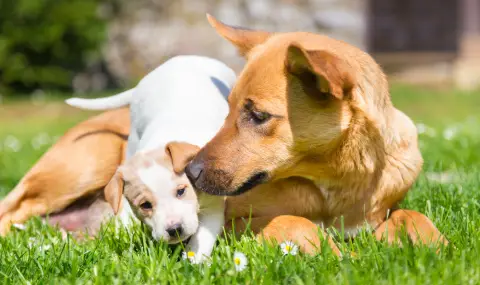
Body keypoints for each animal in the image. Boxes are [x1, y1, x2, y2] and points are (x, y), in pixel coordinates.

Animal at [66, 55, 236, 262]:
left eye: (181, 191)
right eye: (145, 205)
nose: (175, 229)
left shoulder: (212, 205)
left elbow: (201, 238)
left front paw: (193, 262)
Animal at [186, 15, 448, 253]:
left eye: (259, 115)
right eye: (228, 108)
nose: (189, 172)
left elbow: (411, 214)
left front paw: (438, 246)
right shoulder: (231, 223)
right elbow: (294, 221)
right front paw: (336, 254)